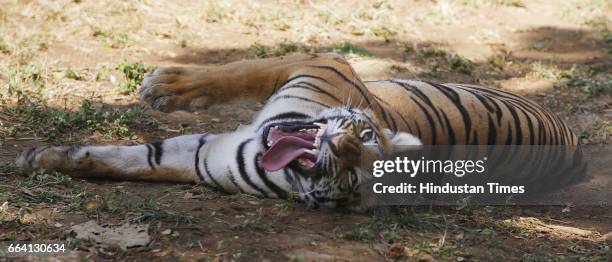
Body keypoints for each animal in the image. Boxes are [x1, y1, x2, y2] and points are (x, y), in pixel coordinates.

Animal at [15, 52, 580, 211]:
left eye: (355, 178)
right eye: (365, 142)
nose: (344, 143)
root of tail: (574, 146)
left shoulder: (198, 156)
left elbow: (141, 159)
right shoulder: (317, 63)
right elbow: (240, 69)